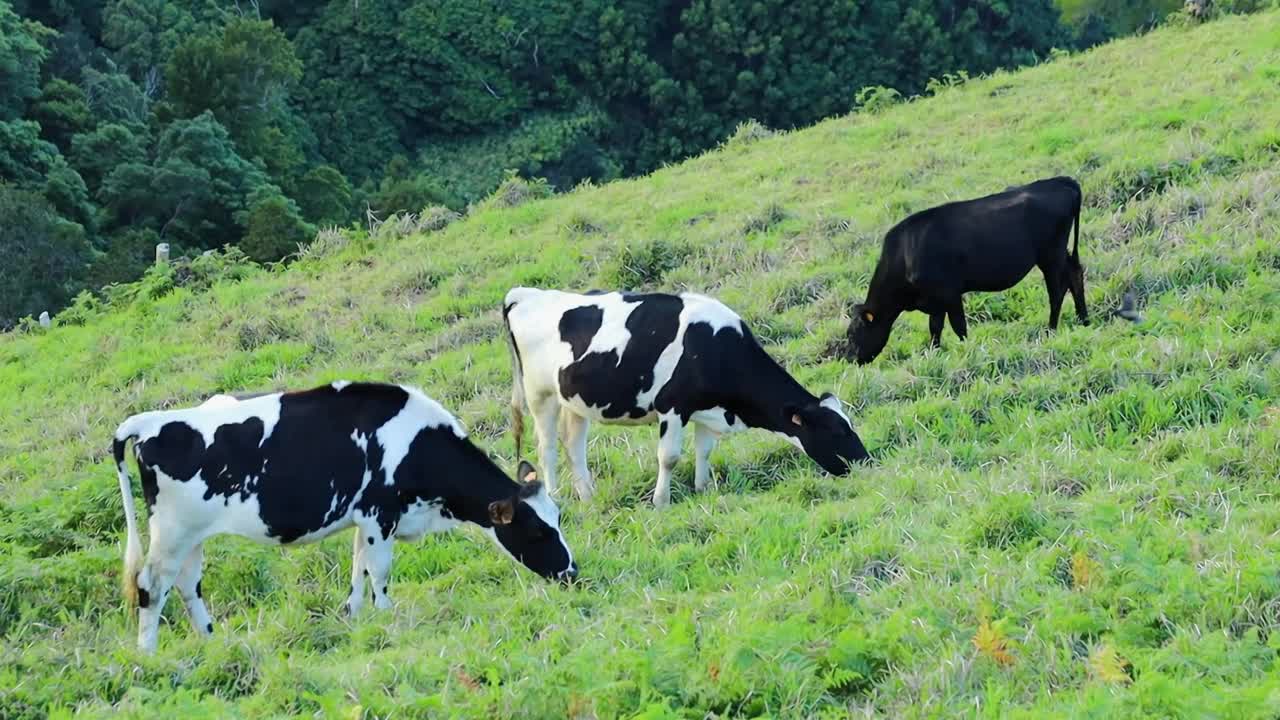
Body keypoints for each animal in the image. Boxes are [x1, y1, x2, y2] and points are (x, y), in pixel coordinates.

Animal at [115, 381, 576, 650]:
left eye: (559, 518)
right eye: (537, 533)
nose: (571, 573)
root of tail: (150, 421)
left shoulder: (364, 518)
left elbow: (359, 569)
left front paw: (354, 616)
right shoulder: (380, 514)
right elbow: (380, 571)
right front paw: (388, 618)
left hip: (191, 536)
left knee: (187, 586)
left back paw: (211, 643)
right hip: (172, 533)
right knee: (151, 586)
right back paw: (149, 656)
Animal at [499, 285, 870, 504]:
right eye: (836, 430)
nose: (866, 462)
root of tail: (524, 293)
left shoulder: (705, 409)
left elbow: (704, 450)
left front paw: (702, 488)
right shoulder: (672, 407)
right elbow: (670, 457)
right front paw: (660, 502)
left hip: (574, 399)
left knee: (573, 443)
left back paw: (588, 497)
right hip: (540, 394)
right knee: (546, 446)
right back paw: (556, 496)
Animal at [844, 174, 1085, 363]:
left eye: (853, 334)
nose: (850, 359)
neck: (904, 254)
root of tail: (1061, 181)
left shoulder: (949, 293)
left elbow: (958, 325)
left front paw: (967, 351)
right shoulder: (935, 300)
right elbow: (935, 328)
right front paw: (935, 353)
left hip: (1050, 254)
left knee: (1057, 290)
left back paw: (1051, 330)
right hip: (1061, 252)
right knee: (1075, 275)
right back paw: (1084, 320)